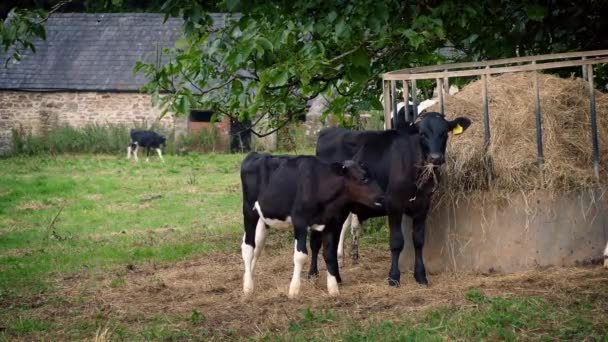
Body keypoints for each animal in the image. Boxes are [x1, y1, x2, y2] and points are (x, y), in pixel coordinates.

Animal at [240, 152, 382, 296]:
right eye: (363, 178)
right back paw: (248, 287)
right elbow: (300, 256)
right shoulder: (300, 221)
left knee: (257, 246)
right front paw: (294, 290)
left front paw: (333, 289)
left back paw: (248, 276)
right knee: (248, 247)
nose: (382, 198)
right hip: (249, 211)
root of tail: (256, 154)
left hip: (263, 219)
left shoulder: (331, 224)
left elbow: (329, 254)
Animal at [314, 111, 470, 286]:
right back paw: (314, 273)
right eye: (423, 134)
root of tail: (327, 131)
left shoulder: (423, 205)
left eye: (444, 133)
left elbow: (418, 240)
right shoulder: (394, 205)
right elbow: (396, 242)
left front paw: (420, 276)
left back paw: (336, 277)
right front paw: (394, 277)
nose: (435, 158)